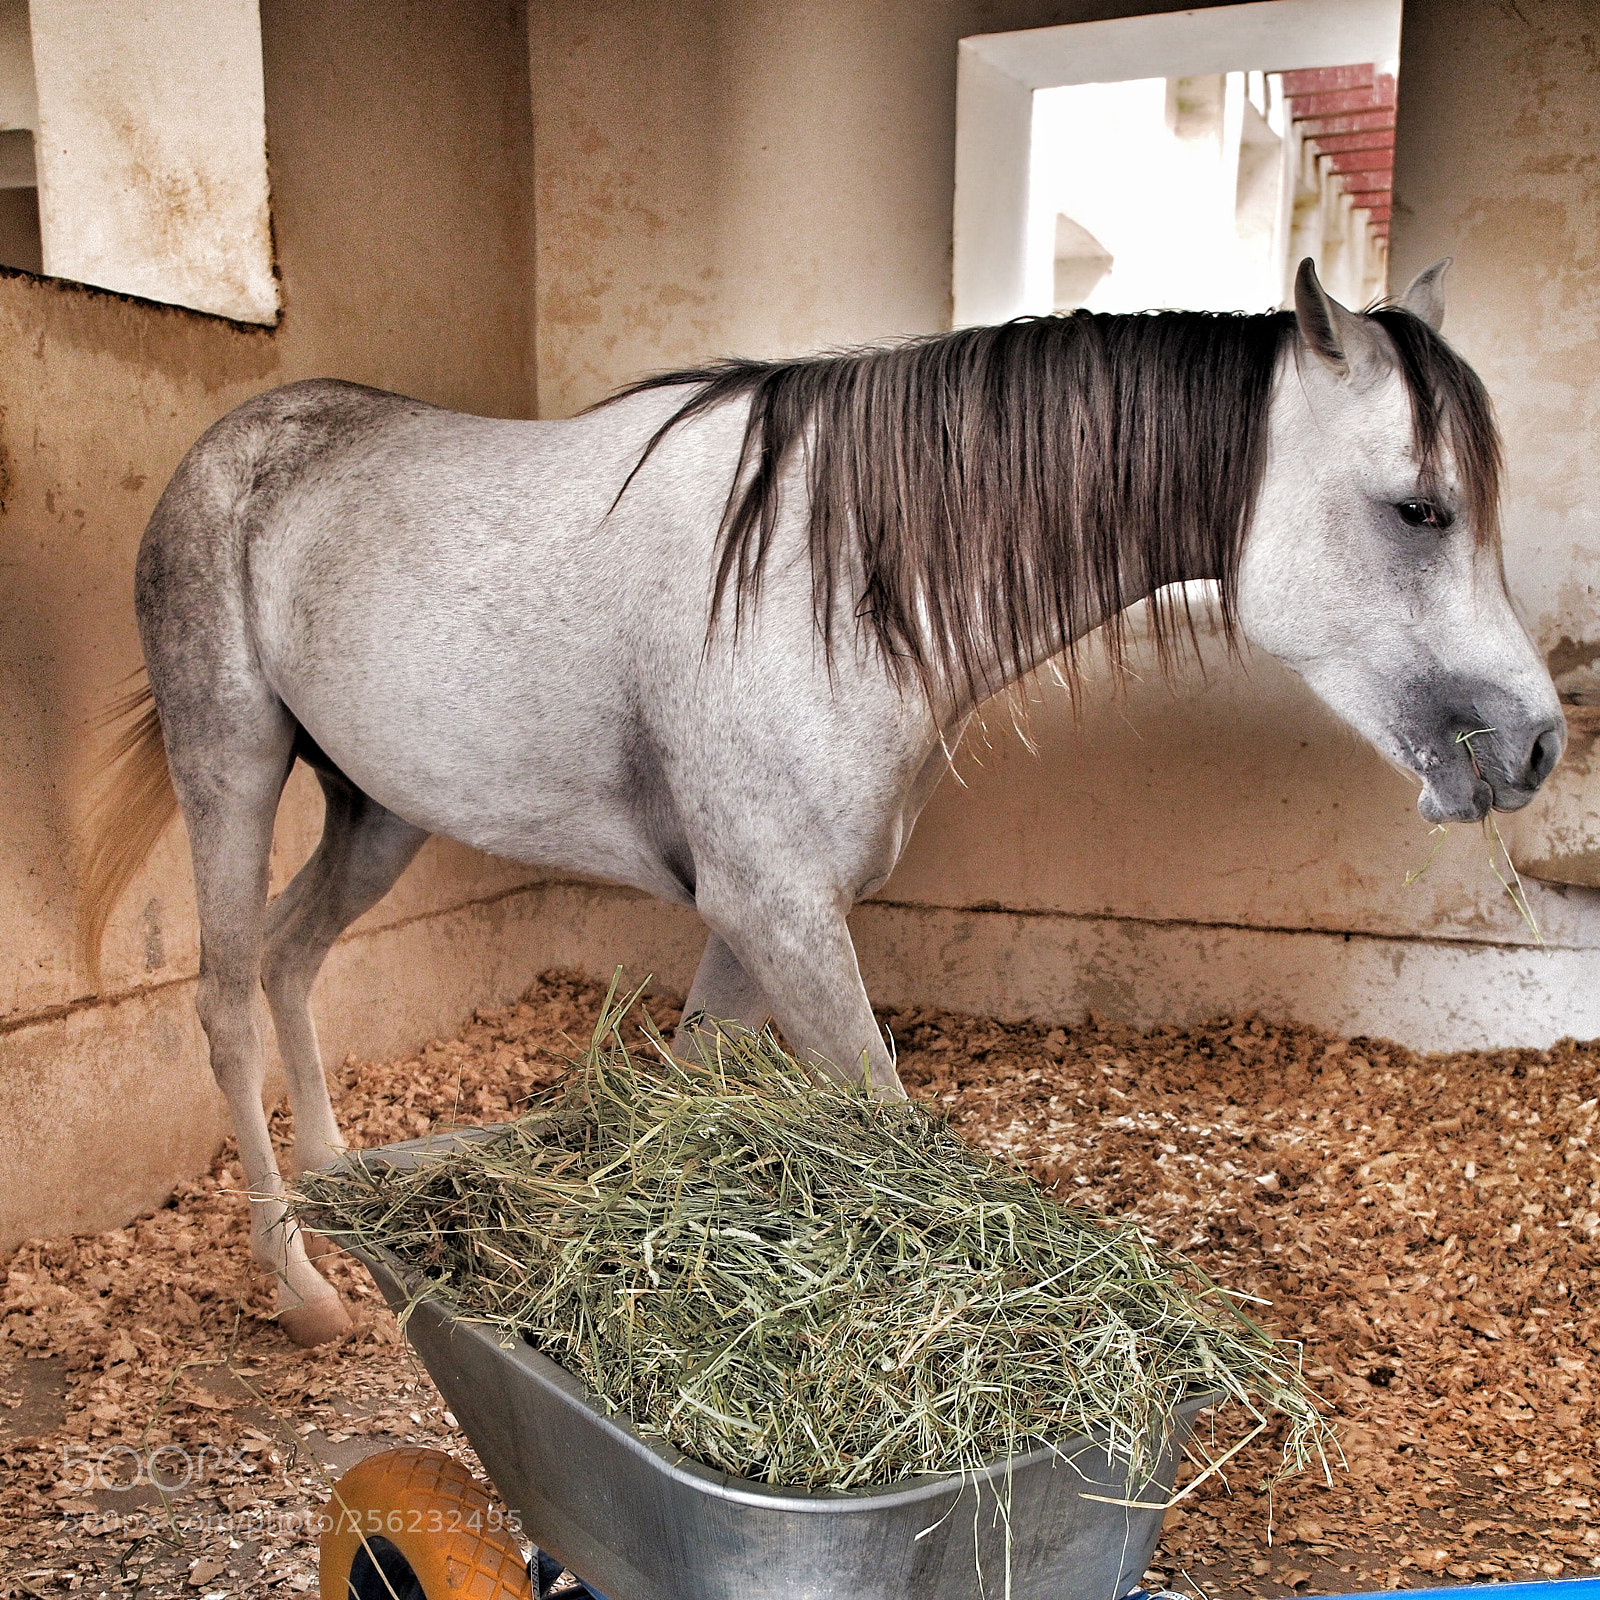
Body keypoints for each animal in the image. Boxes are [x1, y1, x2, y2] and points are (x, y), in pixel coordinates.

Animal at [82, 258, 1562, 1344]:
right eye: (1420, 508)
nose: (1537, 743)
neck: (830, 583)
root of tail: (243, 442)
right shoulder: (780, 911)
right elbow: (886, 1121)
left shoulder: (758, 920)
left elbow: (691, 1087)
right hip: (232, 767)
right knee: (225, 997)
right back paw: (305, 1291)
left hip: (375, 810)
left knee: (292, 959)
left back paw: (338, 1192)